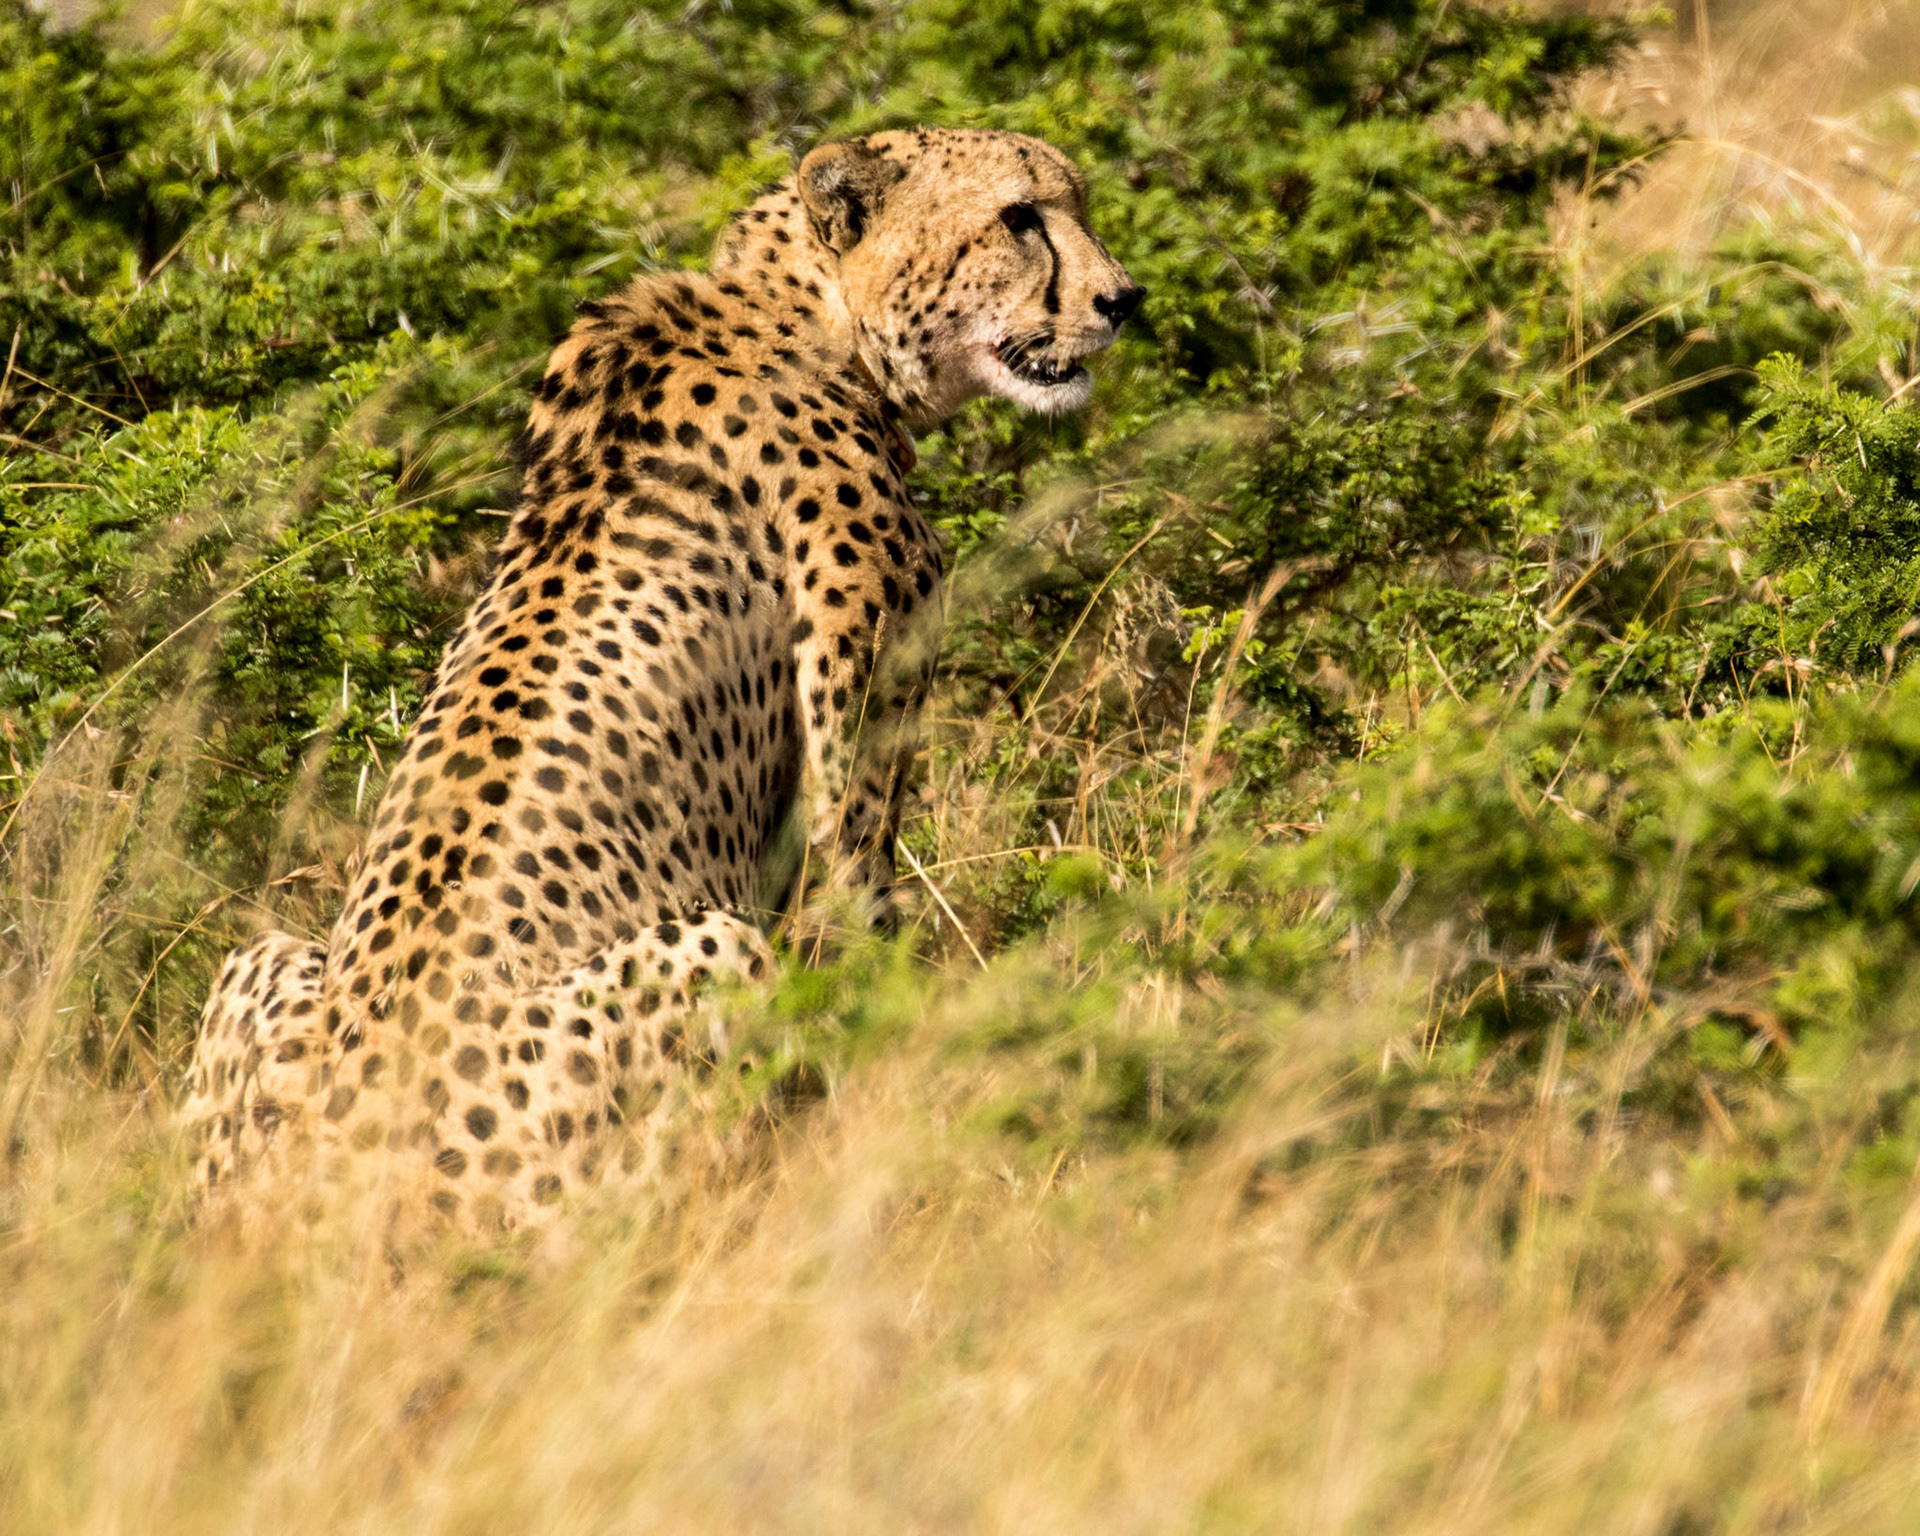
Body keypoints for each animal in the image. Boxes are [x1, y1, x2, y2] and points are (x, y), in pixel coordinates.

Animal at [180, 127, 1143, 1231]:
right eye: (1019, 217)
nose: (1124, 298)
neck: (811, 315)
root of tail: (321, 1189)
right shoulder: (855, 717)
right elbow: (868, 918)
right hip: (705, 964)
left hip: (256, 962)